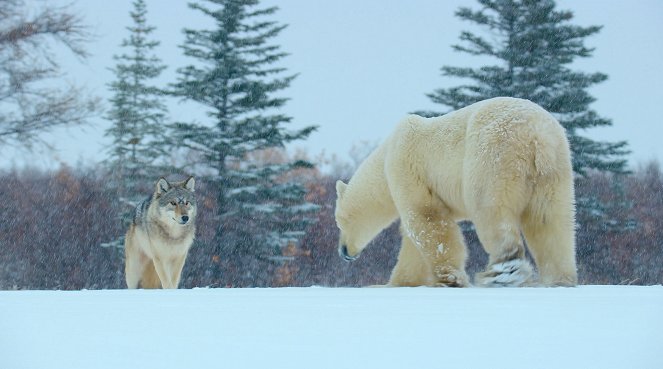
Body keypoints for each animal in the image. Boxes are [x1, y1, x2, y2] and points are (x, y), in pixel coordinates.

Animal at [334, 96, 580, 286]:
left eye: (339, 221)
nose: (343, 252)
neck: (384, 157)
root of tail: (537, 136)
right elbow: (413, 239)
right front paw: (399, 283)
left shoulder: (406, 166)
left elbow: (426, 219)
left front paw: (450, 278)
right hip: (555, 171)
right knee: (550, 221)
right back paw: (560, 279)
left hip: (494, 155)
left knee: (491, 212)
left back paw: (502, 273)